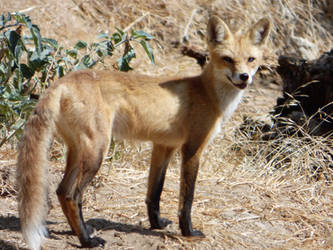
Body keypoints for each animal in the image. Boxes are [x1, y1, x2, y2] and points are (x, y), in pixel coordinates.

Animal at [16, 15, 270, 248]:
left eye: (251, 59)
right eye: (227, 59)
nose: (244, 77)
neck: (208, 94)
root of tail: (63, 81)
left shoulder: (164, 146)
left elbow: (154, 193)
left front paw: (156, 224)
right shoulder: (192, 149)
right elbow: (186, 199)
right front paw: (188, 232)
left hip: (78, 151)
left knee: (60, 191)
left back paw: (80, 231)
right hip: (97, 152)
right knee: (72, 195)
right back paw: (87, 240)